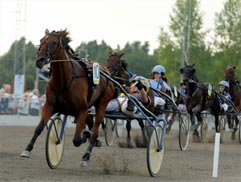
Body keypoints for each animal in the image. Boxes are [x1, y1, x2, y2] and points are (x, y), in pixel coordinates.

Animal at [20, 28, 115, 165]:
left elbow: (76, 140)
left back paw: (86, 155)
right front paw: (27, 149)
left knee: (95, 130)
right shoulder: (50, 105)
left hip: (102, 104)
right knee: (91, 124)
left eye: (54, 42)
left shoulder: (81, 110)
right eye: (41, 40)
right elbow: (39, 128)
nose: (39, 60)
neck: (65, 80)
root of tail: (106, 71)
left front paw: (83, 137)